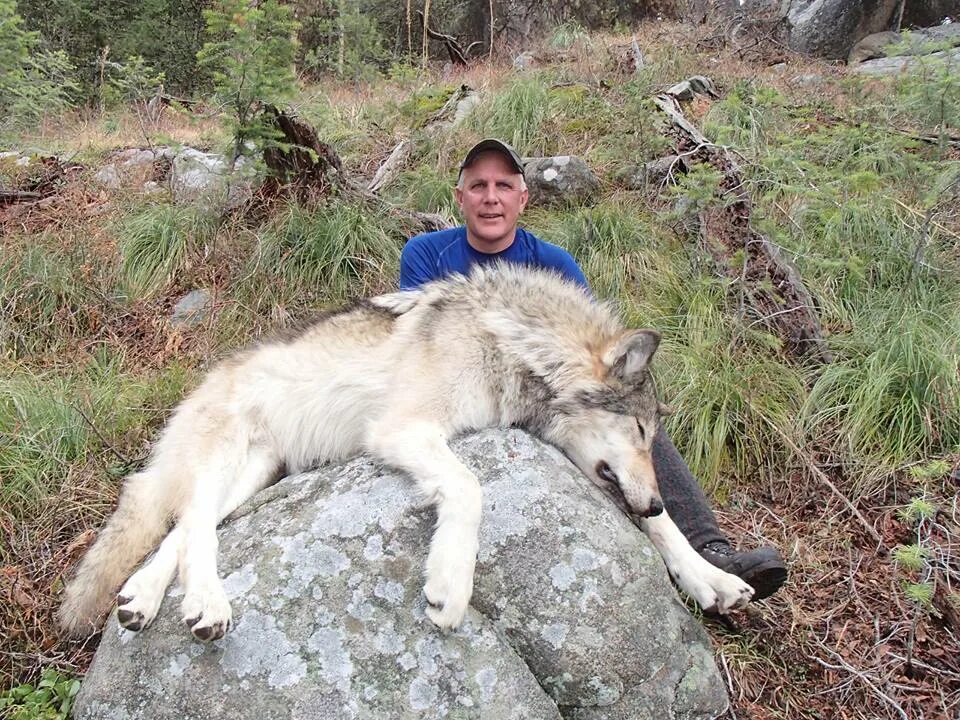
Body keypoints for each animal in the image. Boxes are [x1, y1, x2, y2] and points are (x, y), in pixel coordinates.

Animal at [56, 264, 752, 640]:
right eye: (639, 431)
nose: (657, 499)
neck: (510, 342)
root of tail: (205, 376)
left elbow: (661, 534)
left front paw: (713, 579)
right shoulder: (402, 430)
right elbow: (470, 490)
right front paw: (450, 585)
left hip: (254, 475)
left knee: (182, 527)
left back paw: (140, 599)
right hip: (226, 455)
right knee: (193, 521)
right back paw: (207, 604)